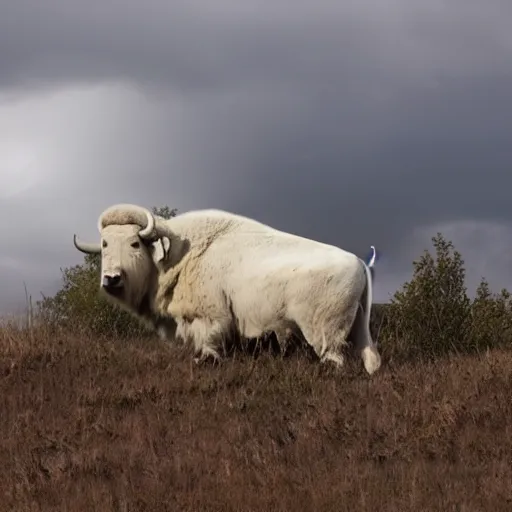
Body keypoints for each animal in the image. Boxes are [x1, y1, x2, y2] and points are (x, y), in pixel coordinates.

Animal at [74, 202, 382, 374]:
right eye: (105, 243)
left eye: (134, 243)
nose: (112, 278)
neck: (178, 253)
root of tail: (360, 263)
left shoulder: (210, 319)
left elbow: (210, 346)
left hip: (324, 334)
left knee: (334, 359)